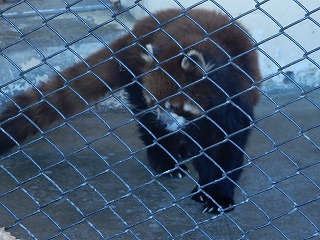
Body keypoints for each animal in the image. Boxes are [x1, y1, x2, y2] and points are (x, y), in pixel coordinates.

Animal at [0, 8, 260, 213]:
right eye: (155, 103)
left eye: (173, 106)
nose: (163, 122)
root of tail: (134, 32)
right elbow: (204, 154)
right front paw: (207, 189)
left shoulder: (236, 103)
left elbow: (228, 153)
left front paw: (218, 195)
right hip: (136, 76)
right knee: (148, 128)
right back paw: (165, 160)